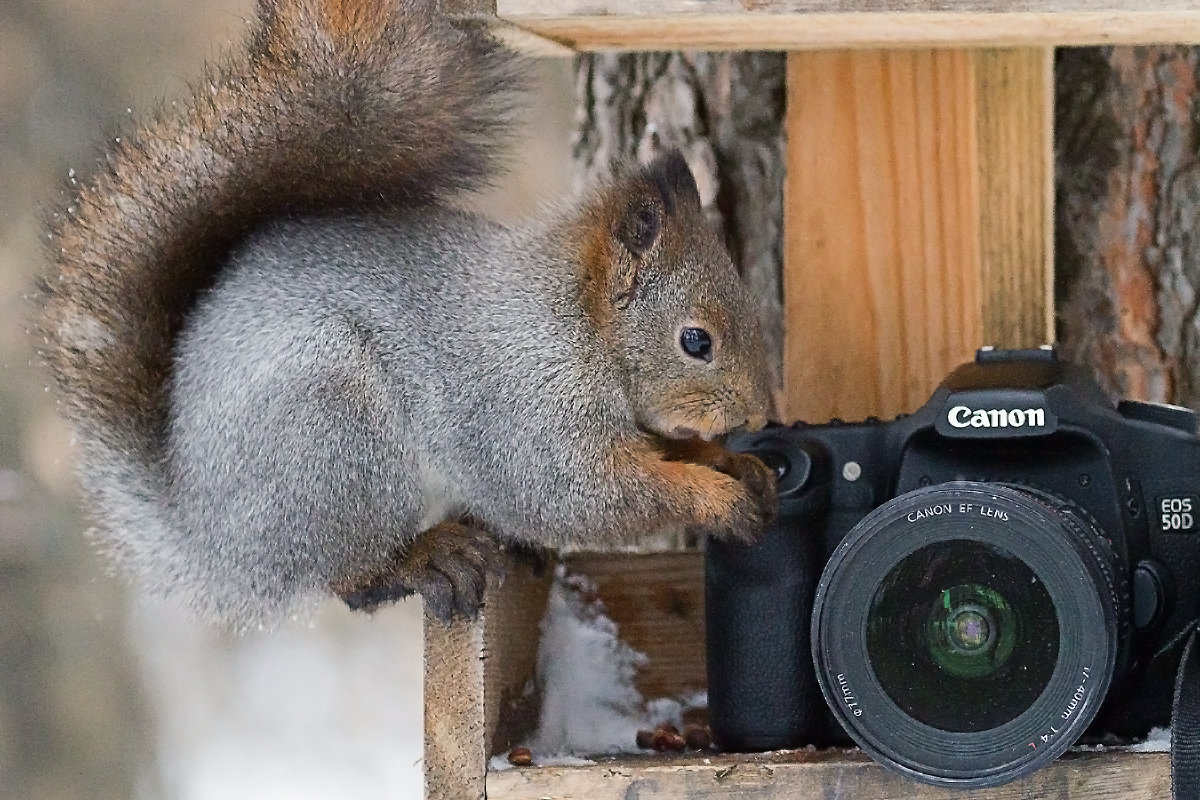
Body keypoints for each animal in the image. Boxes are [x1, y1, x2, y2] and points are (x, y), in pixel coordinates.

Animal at [35, 0, 777, 628]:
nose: (757, 417)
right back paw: (424, 558)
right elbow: (578, 494)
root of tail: (204, 533)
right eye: (695, 341)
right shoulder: (526, 407)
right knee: (347, 576)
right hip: (331, 433)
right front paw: (711, 497)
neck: (578, 325)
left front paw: (727, 462)